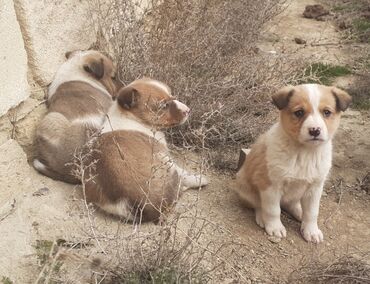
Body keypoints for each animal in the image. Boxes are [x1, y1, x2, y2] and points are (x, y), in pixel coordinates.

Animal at [84, 79, 210, 223]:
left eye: (172, 96)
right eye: (164, 106)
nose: (188, 110)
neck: (131, 118)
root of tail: (139, 207)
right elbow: (184, 173)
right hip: (167, 164)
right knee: (181, 183)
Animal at [236, 83, 352, 243]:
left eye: (327, 112)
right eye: (299, 112)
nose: (314, 130)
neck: (305, 153)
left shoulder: (315, 187)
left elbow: (312, 212)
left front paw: (311, 230)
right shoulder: (271, 185)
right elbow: (272, 210)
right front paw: (275, 227)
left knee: (291, 204)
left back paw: (299, 212)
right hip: (245, 187)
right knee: (258, 204)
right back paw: (262, 218)